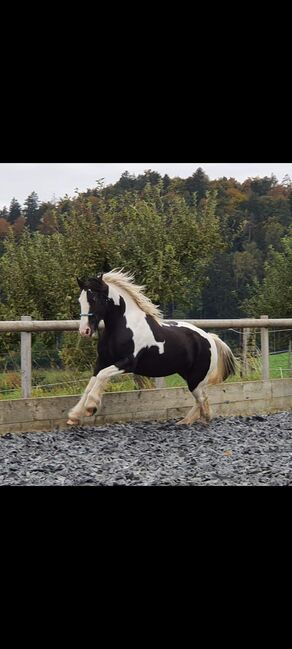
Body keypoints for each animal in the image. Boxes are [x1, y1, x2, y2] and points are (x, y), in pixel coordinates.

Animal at [67, 268, 236, 426]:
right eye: (80, 300)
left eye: (94, 298)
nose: (84, 331)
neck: (123, 327)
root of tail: (210, 338)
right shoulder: (102, 361)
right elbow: (91, 384)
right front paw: (74, 416)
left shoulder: (128, 363)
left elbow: (102, 376)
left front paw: (91, 407)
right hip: (189, 376)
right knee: (201, 399)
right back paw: (185, 421)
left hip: (196, 378)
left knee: (202, 399)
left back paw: (200, 419)